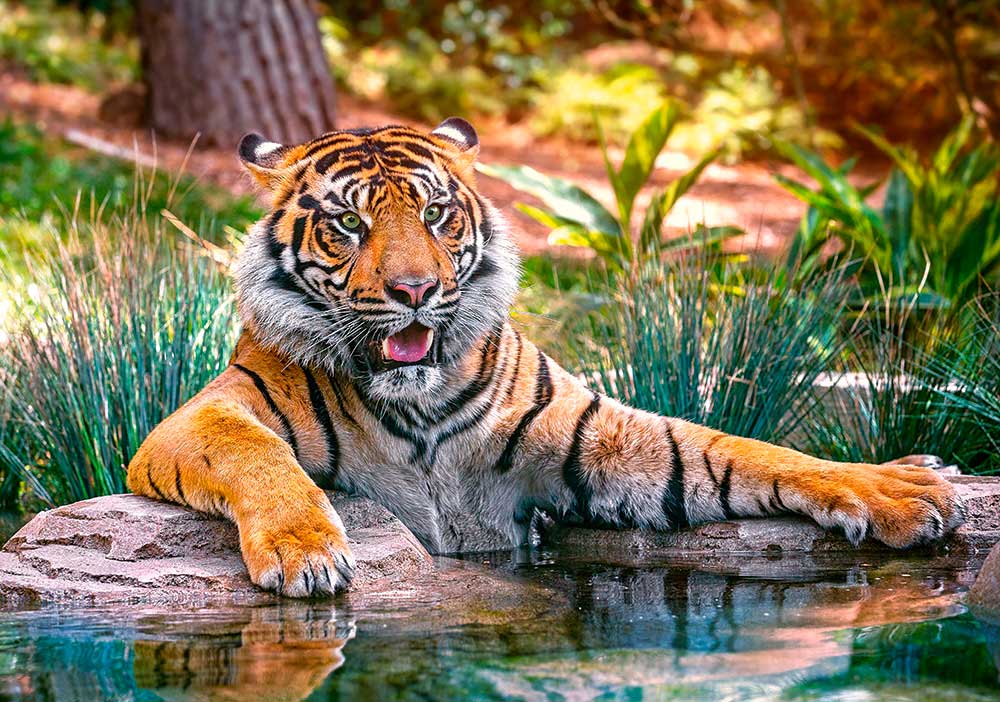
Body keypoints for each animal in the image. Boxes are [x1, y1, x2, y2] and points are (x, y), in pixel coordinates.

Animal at [127, 118, 965, 598]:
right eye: (348, 224)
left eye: (435, 212)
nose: (414, 289)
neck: (417, 402)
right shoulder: (202, 414)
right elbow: (255, 452)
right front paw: (306, 552)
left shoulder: (598, 440)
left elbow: (744, 451)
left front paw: (901, 487)